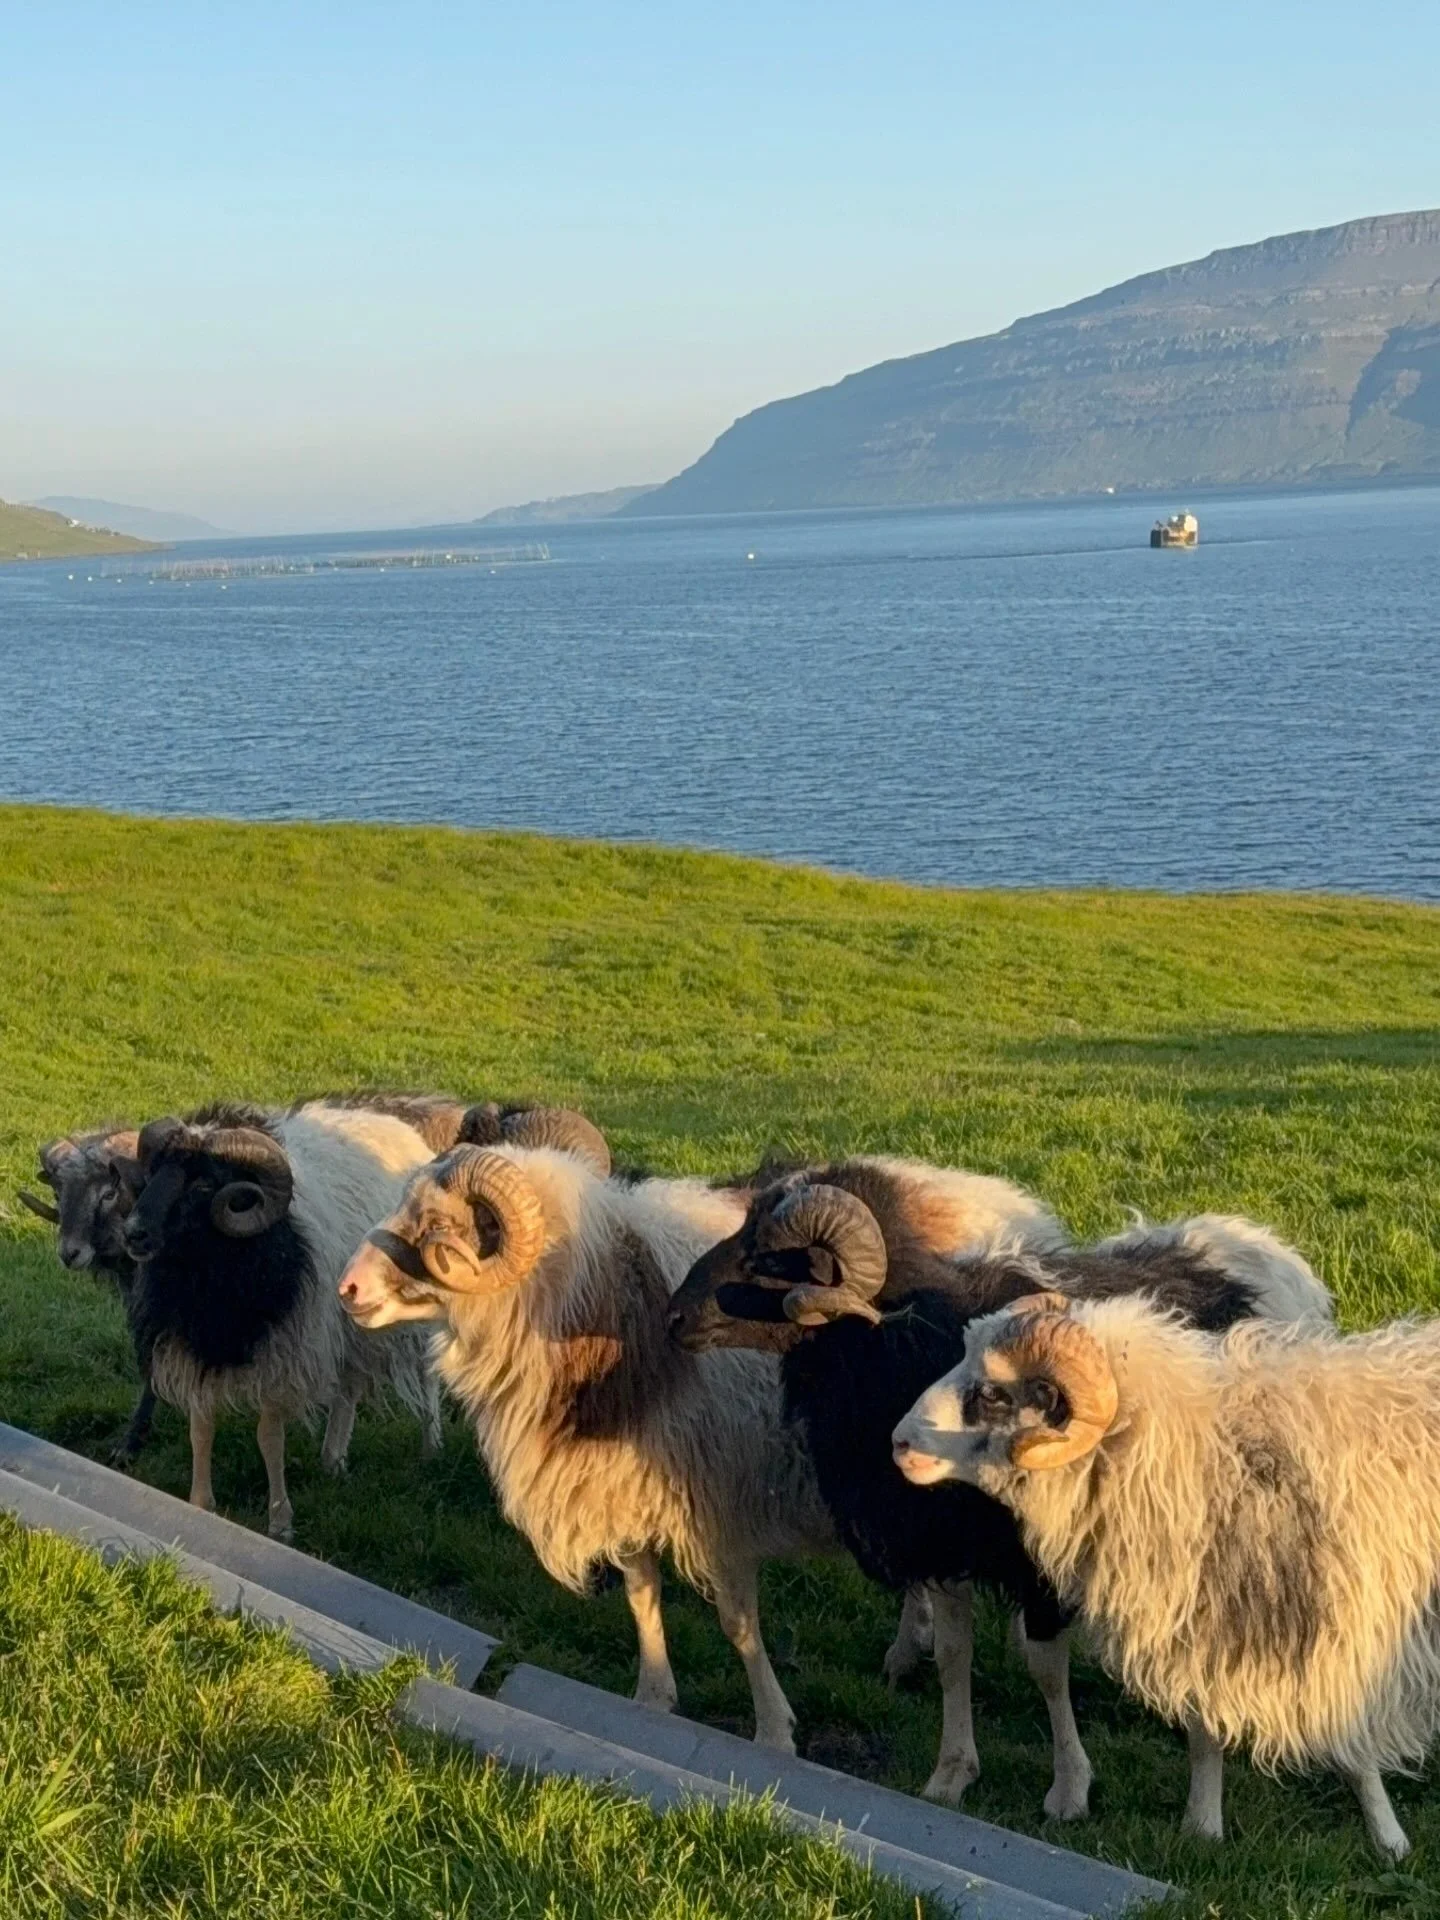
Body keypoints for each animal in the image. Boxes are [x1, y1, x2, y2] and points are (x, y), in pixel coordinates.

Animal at [670, 1162, 1330, 1820]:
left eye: (768, 1258)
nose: (674, 1319)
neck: (900, 1347)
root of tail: (1269, 1248)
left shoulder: (1038, 1561)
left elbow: (1046, 1669)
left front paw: (1068, 1789)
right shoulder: (942, 1546)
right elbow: (953, 1656)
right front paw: (950, 1774)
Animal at [892, 1288, 1432, 1859]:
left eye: (994, 1393)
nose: (898, 1443)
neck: (1207, 1456)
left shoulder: (1348, 1622)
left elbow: (1355, 1746)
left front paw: (1389, 1839)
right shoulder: (1208, 1621)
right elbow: (1203, 1730)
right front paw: (1202, 1826)